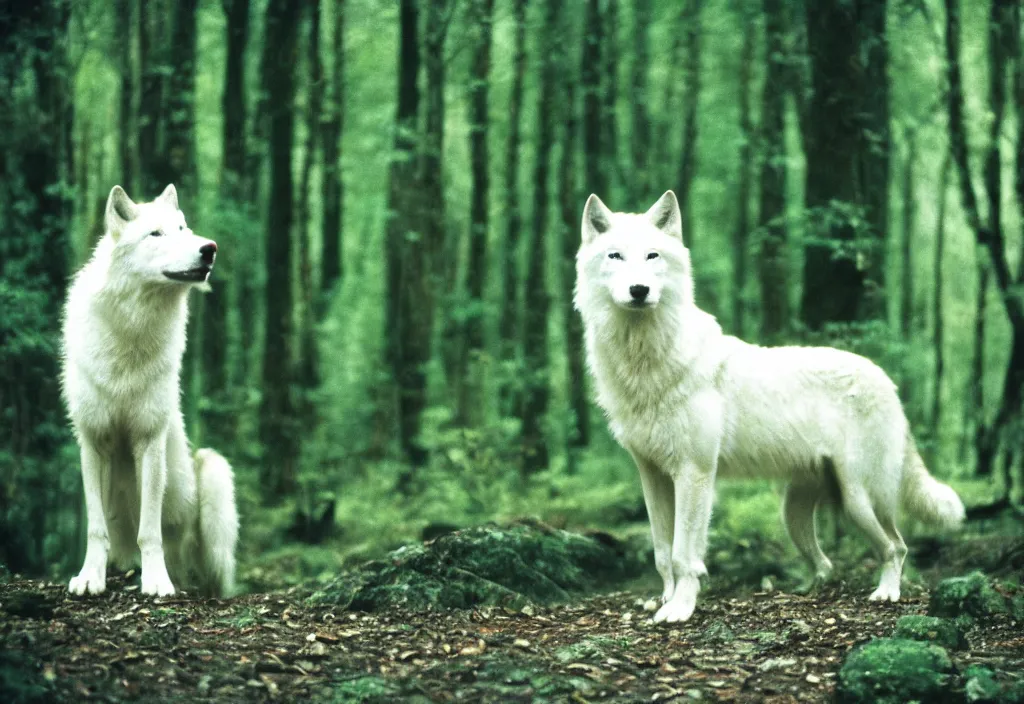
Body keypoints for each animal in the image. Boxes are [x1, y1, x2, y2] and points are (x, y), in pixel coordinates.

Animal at [62, 184, 238, 597]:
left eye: (183, 228)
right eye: (155, 234)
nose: (209, 248)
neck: (131, 334)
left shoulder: (150, 439)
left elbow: (150, 530)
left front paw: (156, 581)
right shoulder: (93, 440)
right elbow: (96, 528)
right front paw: (90, 578)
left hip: (214, 470)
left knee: (216, 580)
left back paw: (187, 582)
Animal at [577, 191, 966, 622]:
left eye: (652, 256)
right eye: (615, 256)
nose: (639, 290)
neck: (645, 360)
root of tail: (887, 381)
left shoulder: (695, 473)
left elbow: (683, 555)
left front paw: (679, 609)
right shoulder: (653, 476)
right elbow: (662, 554)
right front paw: (664, 600)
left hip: (858, 499)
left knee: (896, 546)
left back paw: (886, 593)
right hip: (796, 512)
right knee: (827, 561)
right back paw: (811, 591)